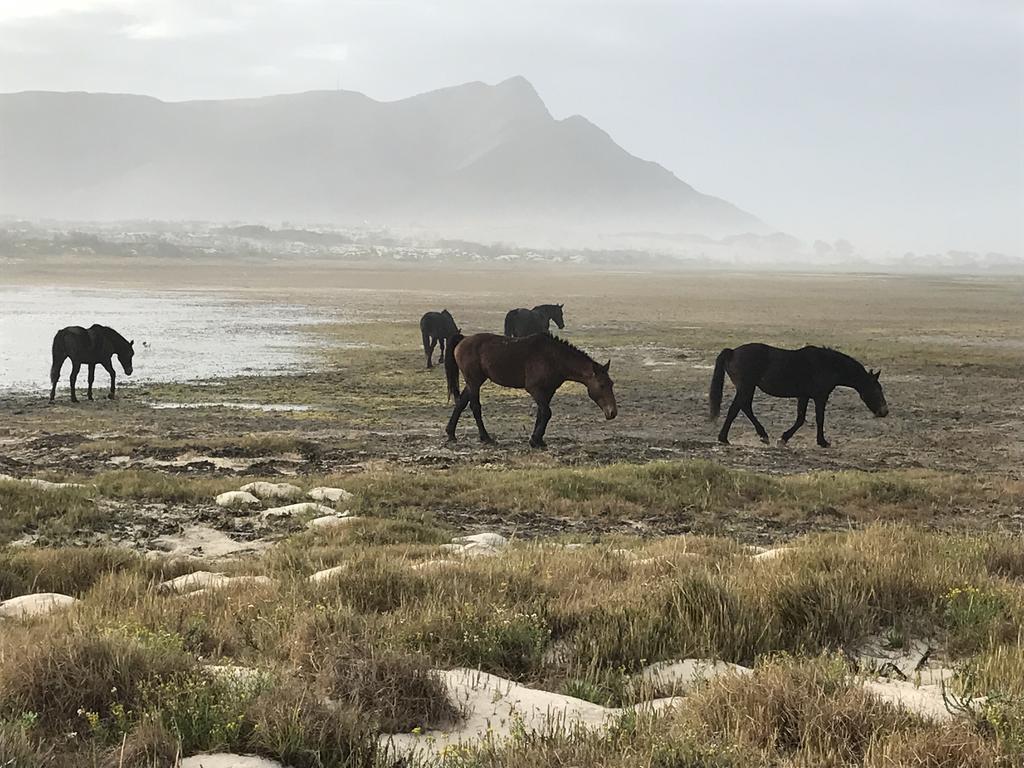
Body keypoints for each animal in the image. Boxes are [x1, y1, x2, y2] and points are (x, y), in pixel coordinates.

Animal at [442, 331, 614, 450]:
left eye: (611, 383)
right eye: (602, 385)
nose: (613, 412)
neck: (554, 357)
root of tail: (463, 339)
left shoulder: (548, 391)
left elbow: (542, 413)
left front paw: (538, 440)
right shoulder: (535, 389)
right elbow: (547, 412)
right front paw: (535, 440)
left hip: (473, 382)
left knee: (460, 403)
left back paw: (451, 433)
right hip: (474, 381)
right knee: (475, 407)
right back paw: (485, 437)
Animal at [712, 344, 888, 450]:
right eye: (875, 389)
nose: (884, 411)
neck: (827, 364)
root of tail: (732, 352)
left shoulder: (803, 396)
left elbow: (800, 419)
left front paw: (783, 439)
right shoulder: (820, 396)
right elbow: (819, 419)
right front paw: (822, 442)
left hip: (747, 388)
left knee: (744, 407)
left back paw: (760, 435)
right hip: (746, 387)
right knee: (736, 408)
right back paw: (725, 438)